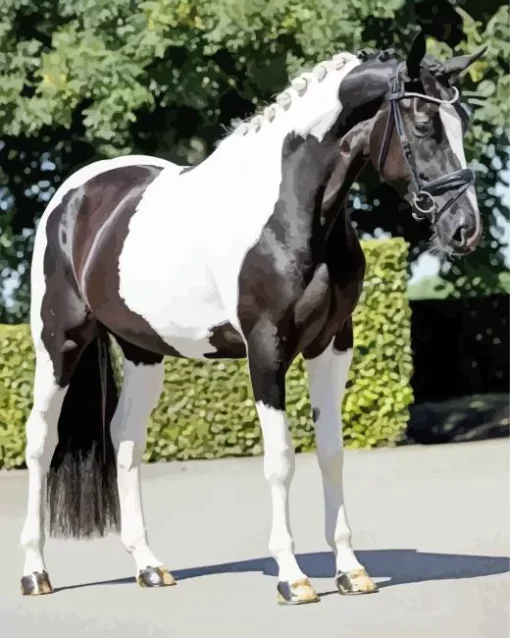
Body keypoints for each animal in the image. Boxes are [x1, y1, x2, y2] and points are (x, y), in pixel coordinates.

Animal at [19, 35, 486, 604]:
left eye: (463, 119)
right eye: (423, 123)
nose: (465, 228)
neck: (289, 212)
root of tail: (74, 195)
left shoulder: (333, 345)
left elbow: (332, 452)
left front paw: (351, 571)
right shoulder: (266, 350)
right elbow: (280, 460)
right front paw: (292, 576)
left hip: (143, 351)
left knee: (125, 440)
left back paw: (149, 566)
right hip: (59, 342)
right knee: (41, 442)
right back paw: (35, 571)